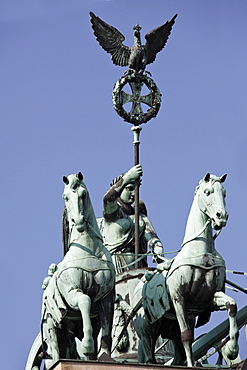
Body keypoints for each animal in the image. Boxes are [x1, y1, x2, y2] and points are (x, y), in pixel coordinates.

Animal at [133, 175, 239, 366]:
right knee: (148, 349)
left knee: (177, 354)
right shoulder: (179, 299)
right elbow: (187, 336)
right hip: (146, 327)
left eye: (224, 193)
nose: (221, 217)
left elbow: (231, 305)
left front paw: (233, 349)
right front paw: (192, 365)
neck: (202, 251)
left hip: (170, 326)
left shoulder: (208, 299)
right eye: (207, 192)